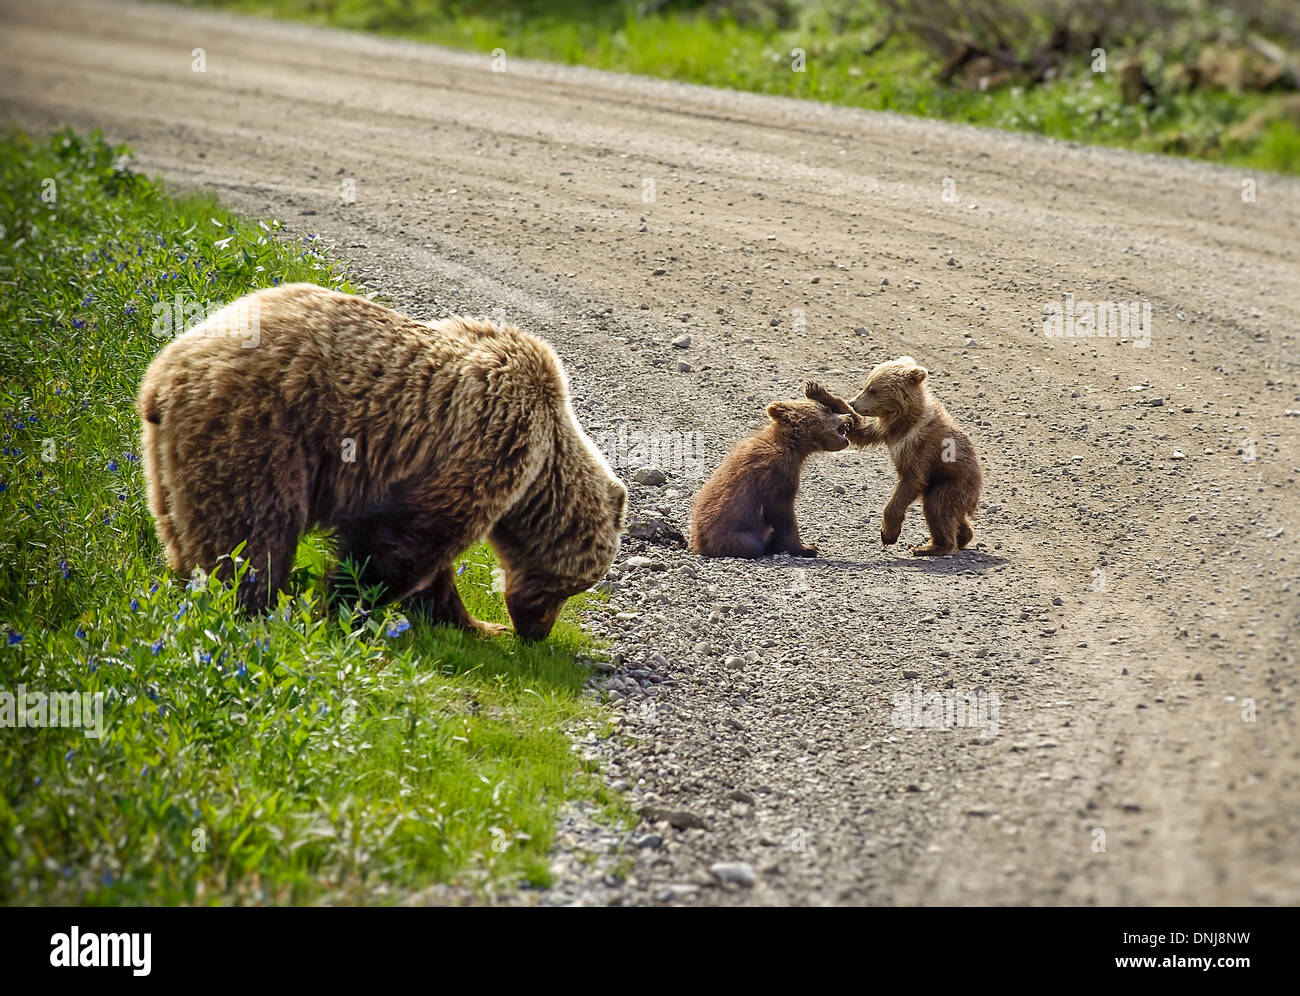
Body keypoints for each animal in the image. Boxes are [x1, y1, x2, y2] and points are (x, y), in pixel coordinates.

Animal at [139, 283, 626, 639]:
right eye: (574, 586)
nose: (536, 632)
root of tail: (162, 373)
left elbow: (428, 562)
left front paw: (471, 622)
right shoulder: (487, 438)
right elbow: (401, 543)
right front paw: (347, 607)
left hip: (166, 459)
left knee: (183, 526)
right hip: (259, 429)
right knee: (252, 529)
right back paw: (251, 607)